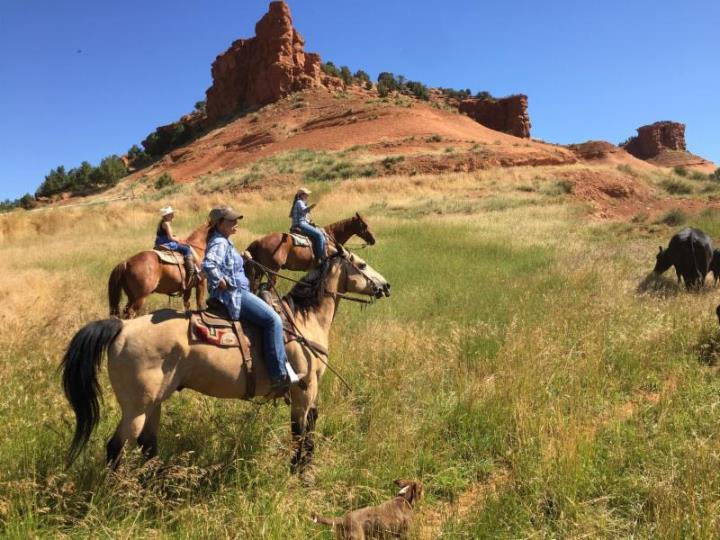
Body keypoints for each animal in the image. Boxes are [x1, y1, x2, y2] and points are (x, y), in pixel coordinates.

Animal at [59, 247, 390, 474]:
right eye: (361, 264)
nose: (385, 286)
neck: (302, 320)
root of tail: (123, 327)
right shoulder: (304, 388)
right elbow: (301, 431)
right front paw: (300, 471)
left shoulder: (310, 390)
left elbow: (310, 425)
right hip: (136, 408)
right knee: (115, 447)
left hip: (153, 403)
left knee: (147, 445)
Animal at [245, 214, 376, 294]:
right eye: (364, 225)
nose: (373, 240)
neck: (330, 238)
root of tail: (259, 241)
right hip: (272, 270)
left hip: (260, 270)